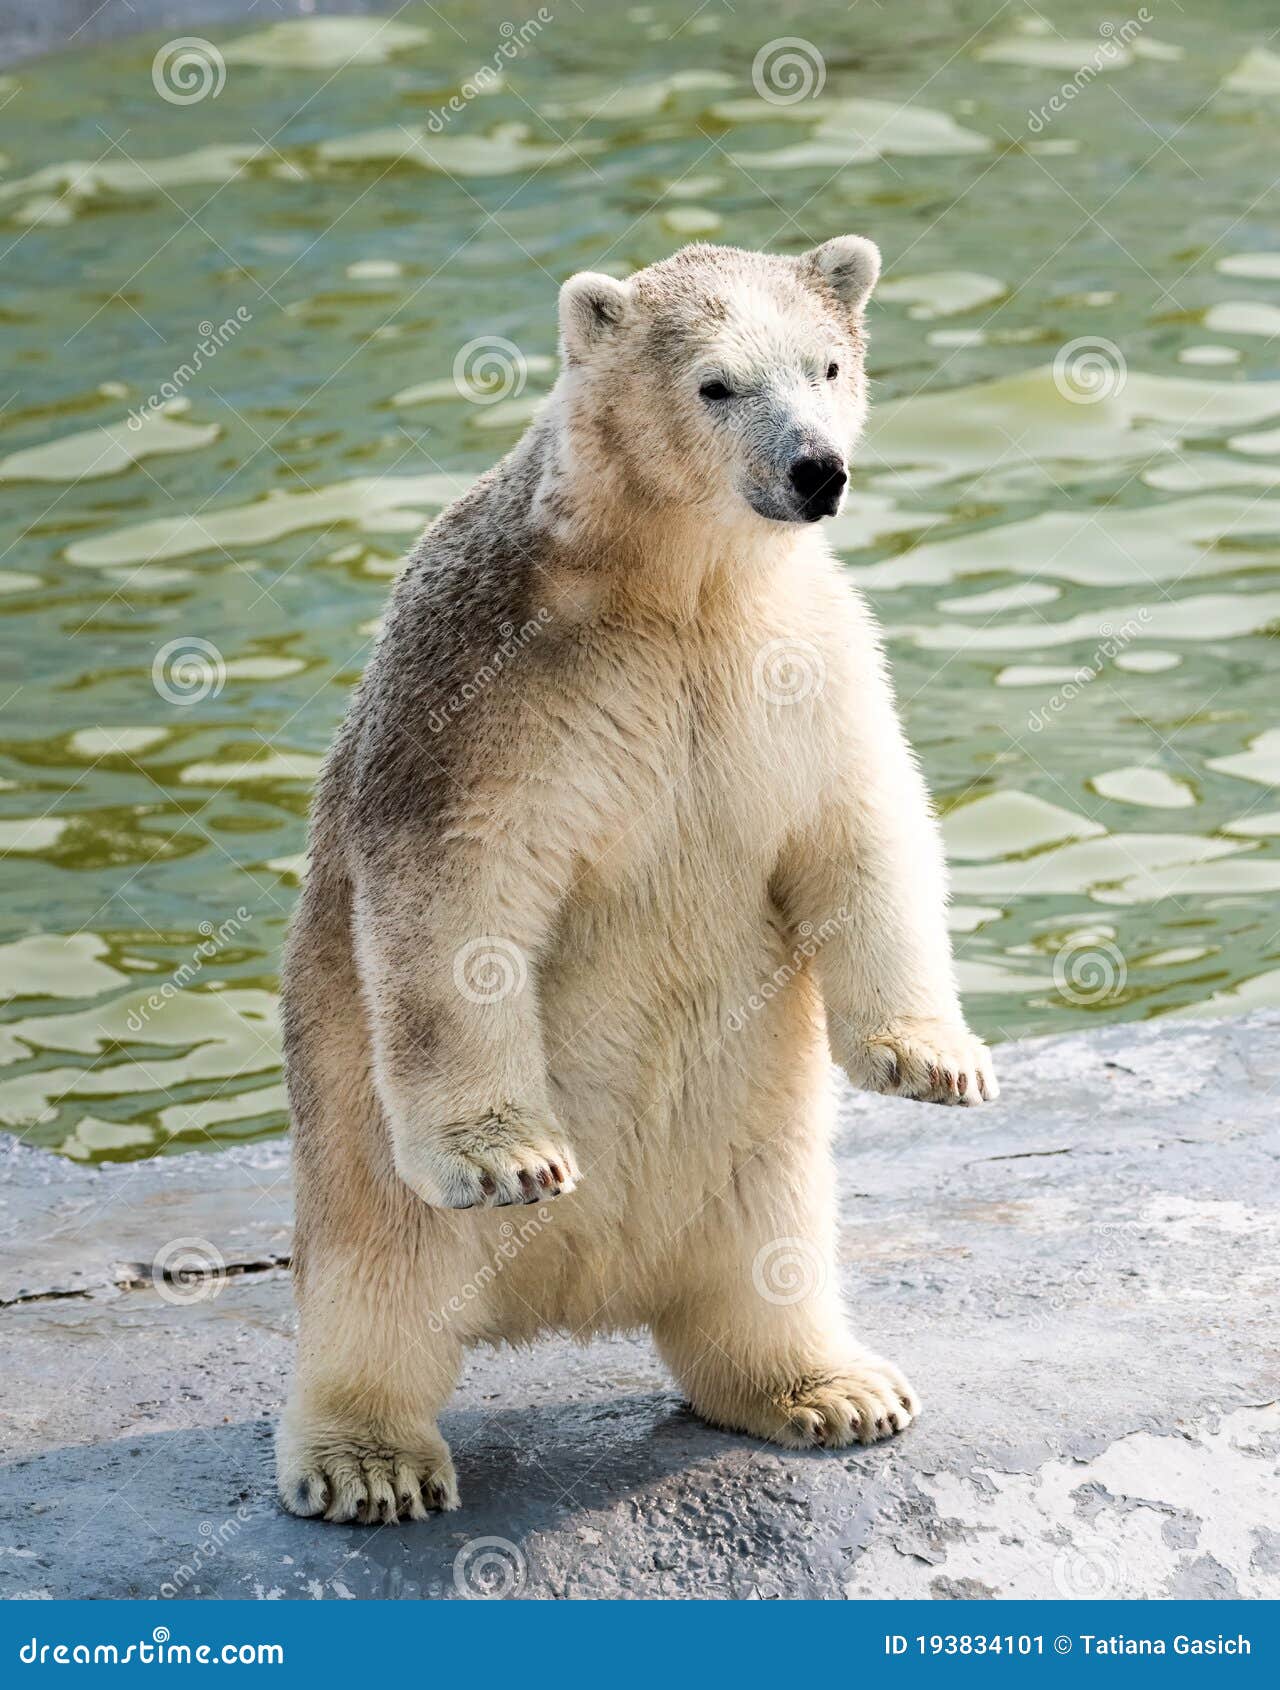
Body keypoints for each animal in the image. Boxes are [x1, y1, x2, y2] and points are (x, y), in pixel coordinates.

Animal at [277, 241, 1001, 1534]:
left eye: (824, 364)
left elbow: (861, 828)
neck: (669, 591)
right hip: (354, 1152)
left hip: (752, 1160)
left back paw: (832, 1387)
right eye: (715, 384)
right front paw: (513, 1157)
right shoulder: (485, 684)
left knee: (766, 1270)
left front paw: (936, 1061)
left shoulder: (799, 657)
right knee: (379, 1290)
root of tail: (575, 1295)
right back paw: (370, 1459)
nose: (816, 469)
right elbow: (453, 896)